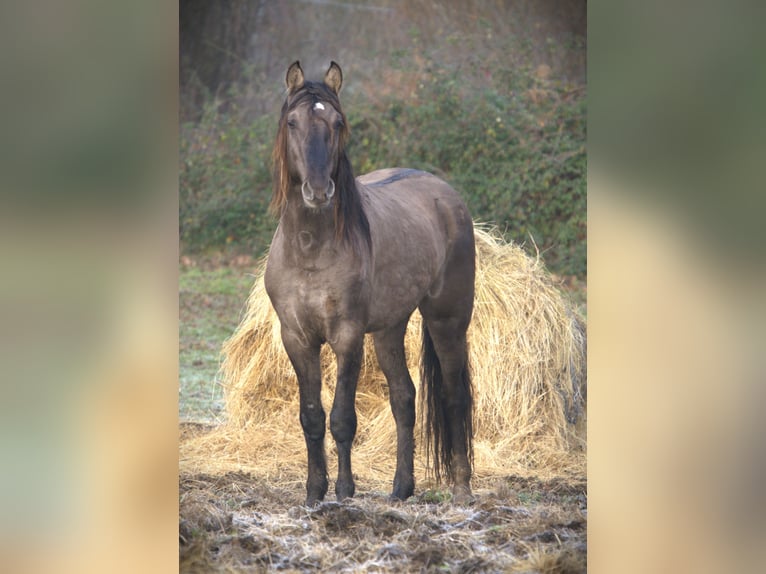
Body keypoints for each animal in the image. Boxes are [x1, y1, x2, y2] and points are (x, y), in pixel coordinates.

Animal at [263, 61, 476, 506]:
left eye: (337, 122)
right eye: (292, 122)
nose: (318, 190)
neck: (310, 248)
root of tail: (443, 192)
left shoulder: (347, 336)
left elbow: (343, 418)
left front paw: (345, 492)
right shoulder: (296, 337)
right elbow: (311, 416)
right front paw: (314, 494)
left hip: (447, 320)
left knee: (454, 396)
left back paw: (462, 489)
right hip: (389, 329)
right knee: (405, 398)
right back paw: (401, 489)